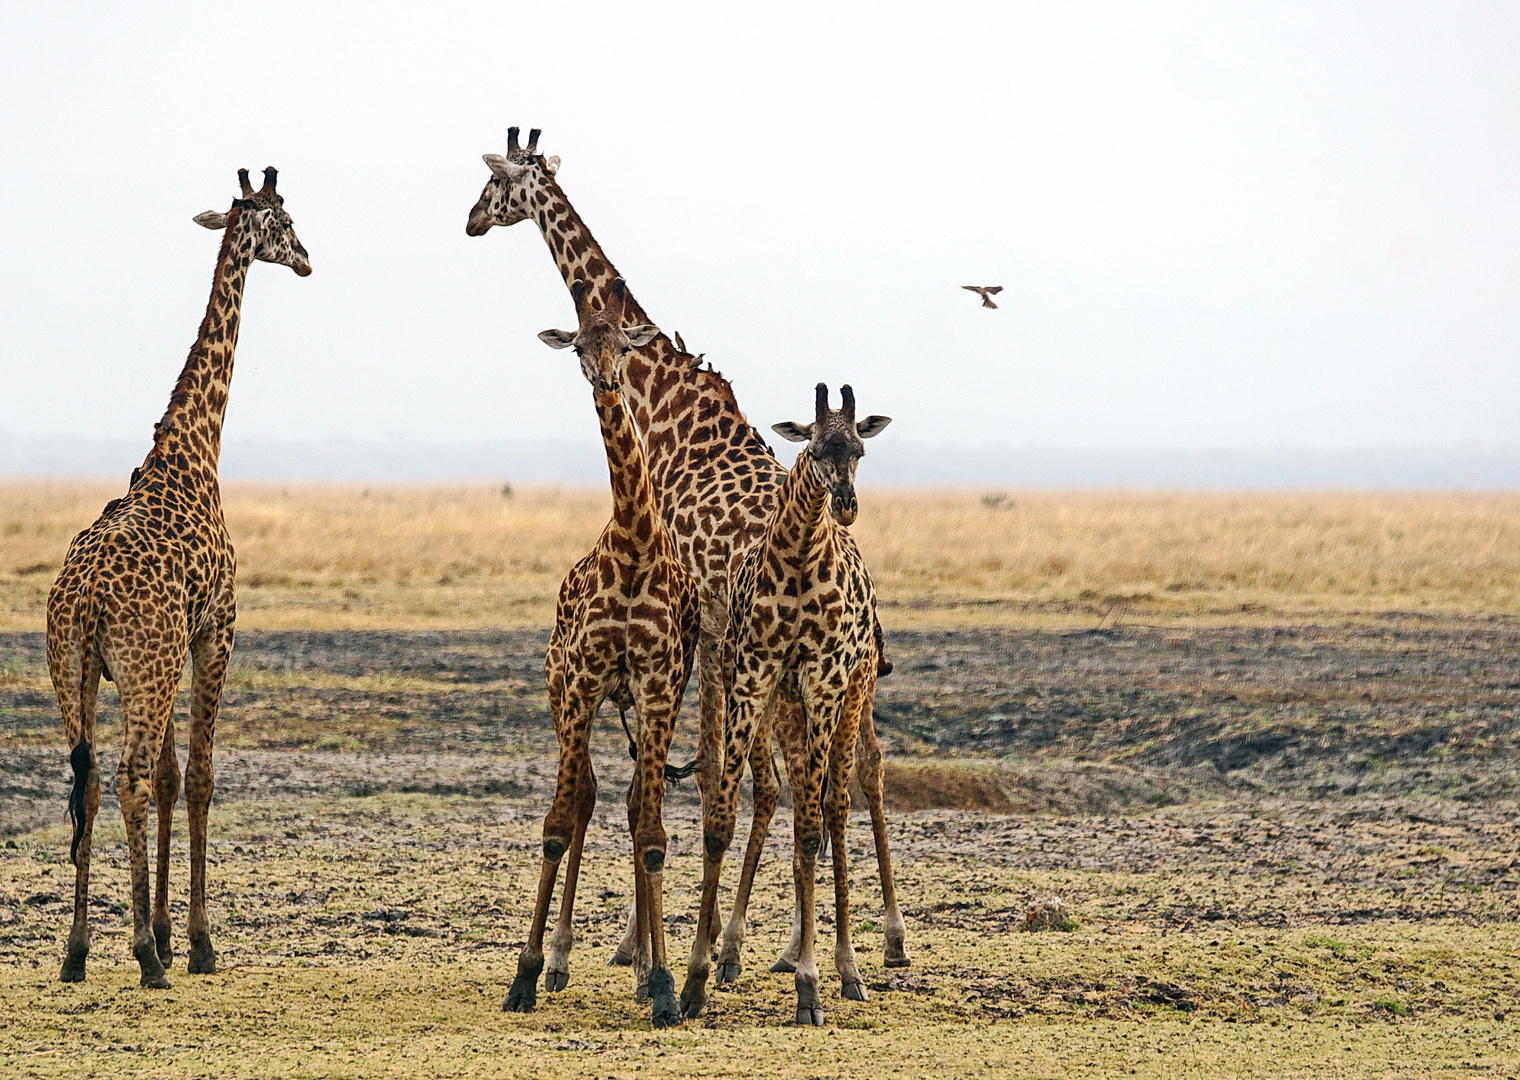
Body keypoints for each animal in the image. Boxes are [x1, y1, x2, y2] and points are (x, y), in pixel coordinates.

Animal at [47, 168, 310, 990]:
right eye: (284, 220)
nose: (308, 260)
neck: (194, 451)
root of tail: (87, 599)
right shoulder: (215, 632)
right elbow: (195, 776)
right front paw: (192, 942)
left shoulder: (172, 650)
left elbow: (168, 778)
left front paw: (166, 931)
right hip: (147, 667)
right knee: (126, 775)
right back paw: (140, 955)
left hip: (74, 669)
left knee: (89, 778)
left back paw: (76, 952)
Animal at [507, 279, 702, 1032]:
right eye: (578, 348)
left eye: (623, 342)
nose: (604, 379)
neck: (634, 541)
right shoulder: (584, 679)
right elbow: (558, 823)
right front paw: (526, 974)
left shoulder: (656, 683)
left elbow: (650, 831)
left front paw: (666, 985)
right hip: (562, 692)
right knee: (587, 797)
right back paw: (560, 961)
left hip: (646, 703)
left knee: (626, 800)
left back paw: (644, 970)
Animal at [680, 384, 887, 1026]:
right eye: (815, 448)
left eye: (860, 450)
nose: (845, 505)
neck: (797, 560)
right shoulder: (754, 679)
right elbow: (720, 821)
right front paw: (696, 977)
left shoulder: (821, 685)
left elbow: (809, 833)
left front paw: (810, 987)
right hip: (787, 706)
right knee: (803, 800)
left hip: (850, 696)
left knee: (836, 809)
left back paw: (850, 970)